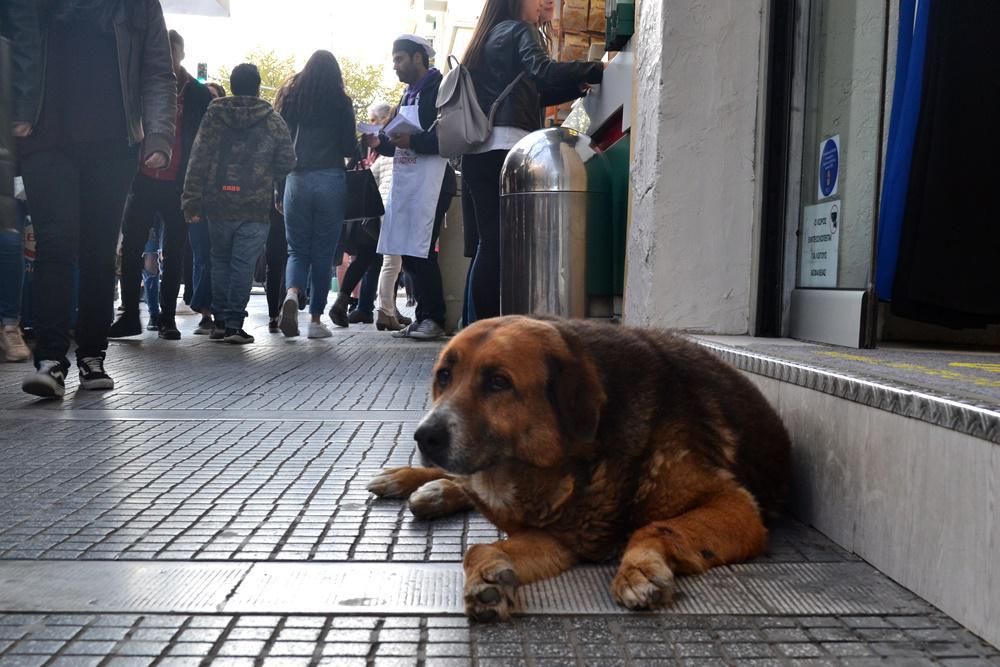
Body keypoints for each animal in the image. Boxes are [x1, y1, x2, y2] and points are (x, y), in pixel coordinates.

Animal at [368, 318, 788, 620]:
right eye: (444, 376)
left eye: (498, 382)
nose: (425, 436)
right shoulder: (557, 534)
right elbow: (477, 548)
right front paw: (487, 574)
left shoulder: (733, 503)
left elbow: (656, 526)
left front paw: (637, 570)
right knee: (461, 482)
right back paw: (415, 483)